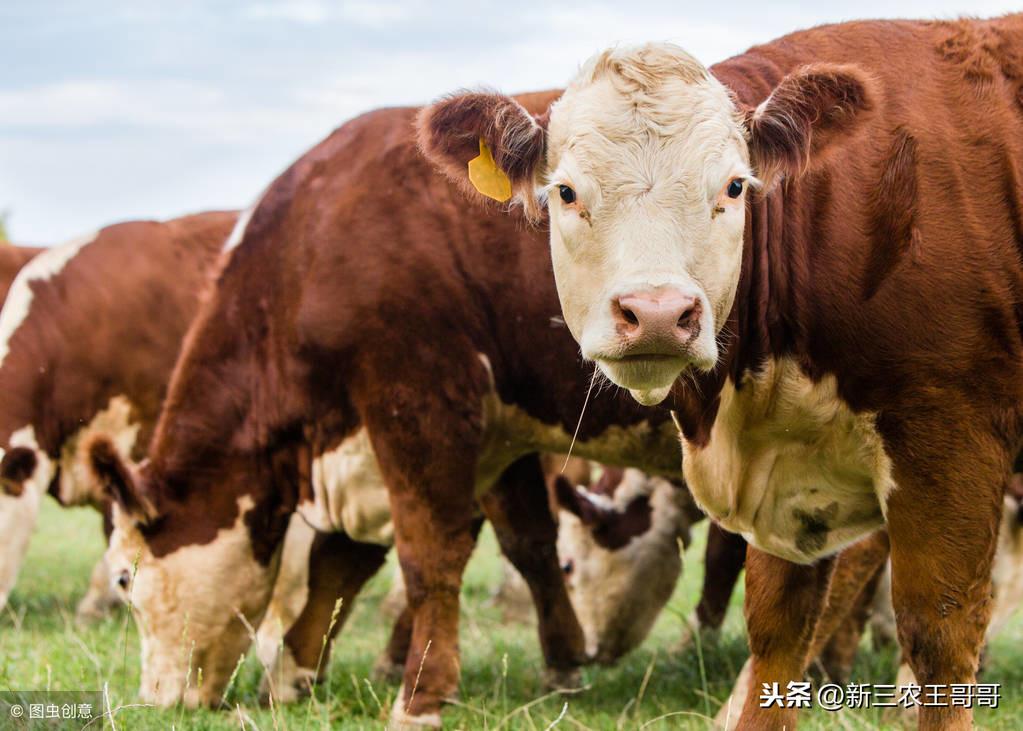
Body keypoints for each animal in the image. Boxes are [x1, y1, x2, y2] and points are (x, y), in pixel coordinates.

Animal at [79, 95, 761, 727]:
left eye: (125, 581)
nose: (157, 700)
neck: (313, 243)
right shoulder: (477, 433)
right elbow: (488, 547)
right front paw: (296, 669)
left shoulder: (418, 403)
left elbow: (427, 553)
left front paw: (420, 693)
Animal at [417, 12, 1023, 731]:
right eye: (565, 192)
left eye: (734, 187)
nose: (657, 313)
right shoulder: (795, 474)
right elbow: (776, 631)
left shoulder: (951, 443)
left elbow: (938, 635)